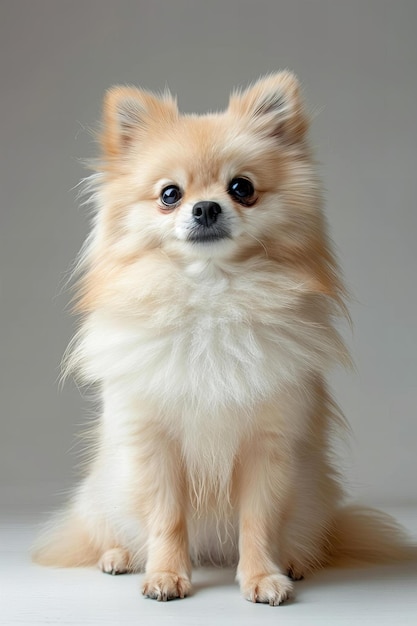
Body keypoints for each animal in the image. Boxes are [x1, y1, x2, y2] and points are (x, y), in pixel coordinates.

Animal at [31, 70, 410, 604]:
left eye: (242, 187)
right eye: (170, 194)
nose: (206, 207)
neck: (211, 298)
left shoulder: (267, 446)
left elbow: (258, 521)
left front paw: (262, 577)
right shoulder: (155, 445)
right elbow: (166, 518)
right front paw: (166, 575)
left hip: (313, 497)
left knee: (306, 537)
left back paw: (295, 562)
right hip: (105, 489)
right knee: (108, 529)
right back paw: (120, 557)